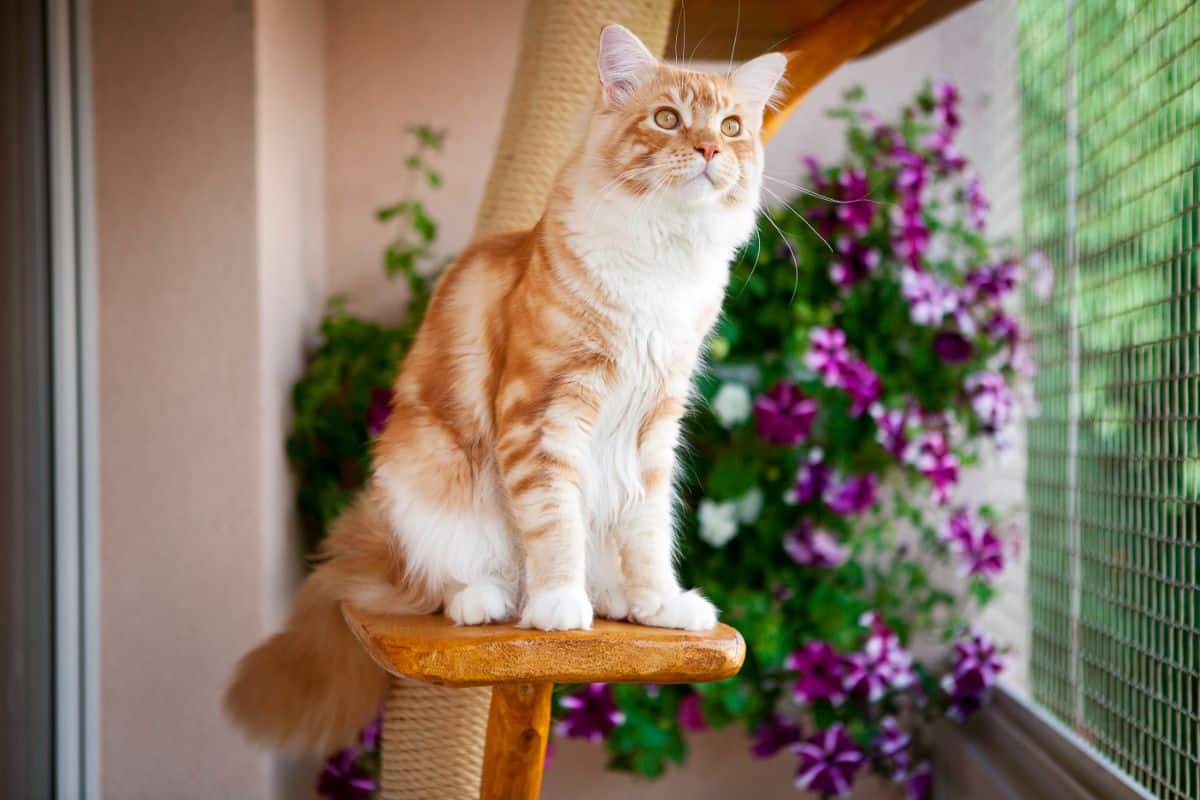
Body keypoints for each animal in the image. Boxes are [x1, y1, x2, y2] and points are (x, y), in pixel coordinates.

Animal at [225, 23, 787, 753]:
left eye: (731, 126)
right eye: (667, 119)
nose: (710, 149)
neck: (662, 263)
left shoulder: (654, 425)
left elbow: (648, 530)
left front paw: (660, 603)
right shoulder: (541, 409)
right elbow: (553, 521)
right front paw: (559, 606)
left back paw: (615, 600)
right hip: (423, 471)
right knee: (442, 581)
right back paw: (492, 600)